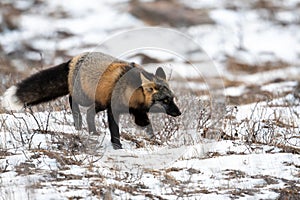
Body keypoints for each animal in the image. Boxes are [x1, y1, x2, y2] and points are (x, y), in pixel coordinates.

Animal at [1, 52, 180, 149]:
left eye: (172, 99)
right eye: (165, 100)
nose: (179, 113)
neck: (131, 92)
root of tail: (75, 58)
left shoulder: (138, 112)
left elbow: (147, 127)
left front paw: (155, 140)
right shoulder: (113, 110)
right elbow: (115, 131)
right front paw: (118, 147)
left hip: (99, 102)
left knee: (89, 113)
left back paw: (92, 131)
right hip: (85, 98)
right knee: (71, 100)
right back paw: (78, 123)